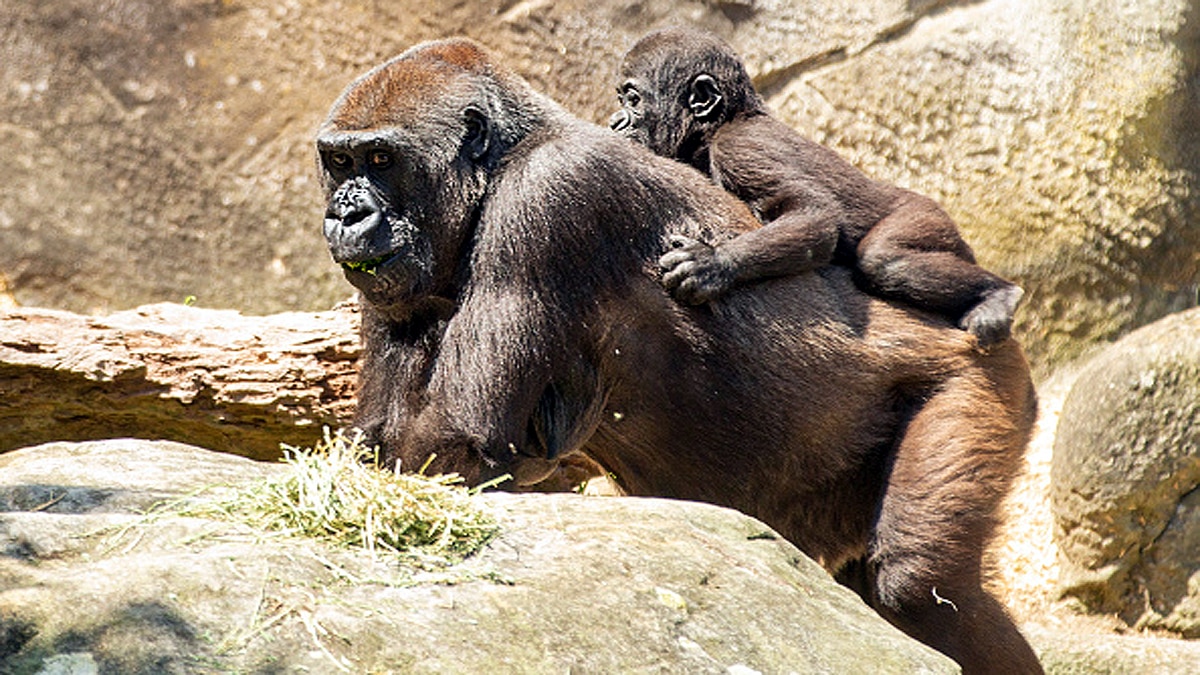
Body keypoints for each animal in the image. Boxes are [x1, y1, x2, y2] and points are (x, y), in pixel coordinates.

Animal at [610, 26, 1024, 349]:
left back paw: (998, 294)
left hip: (927, 216)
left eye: (633, 99)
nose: (615, 122)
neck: (720, 123)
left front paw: (713, 263)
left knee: (883, 259)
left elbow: (814, 215)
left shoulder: (740, 147)